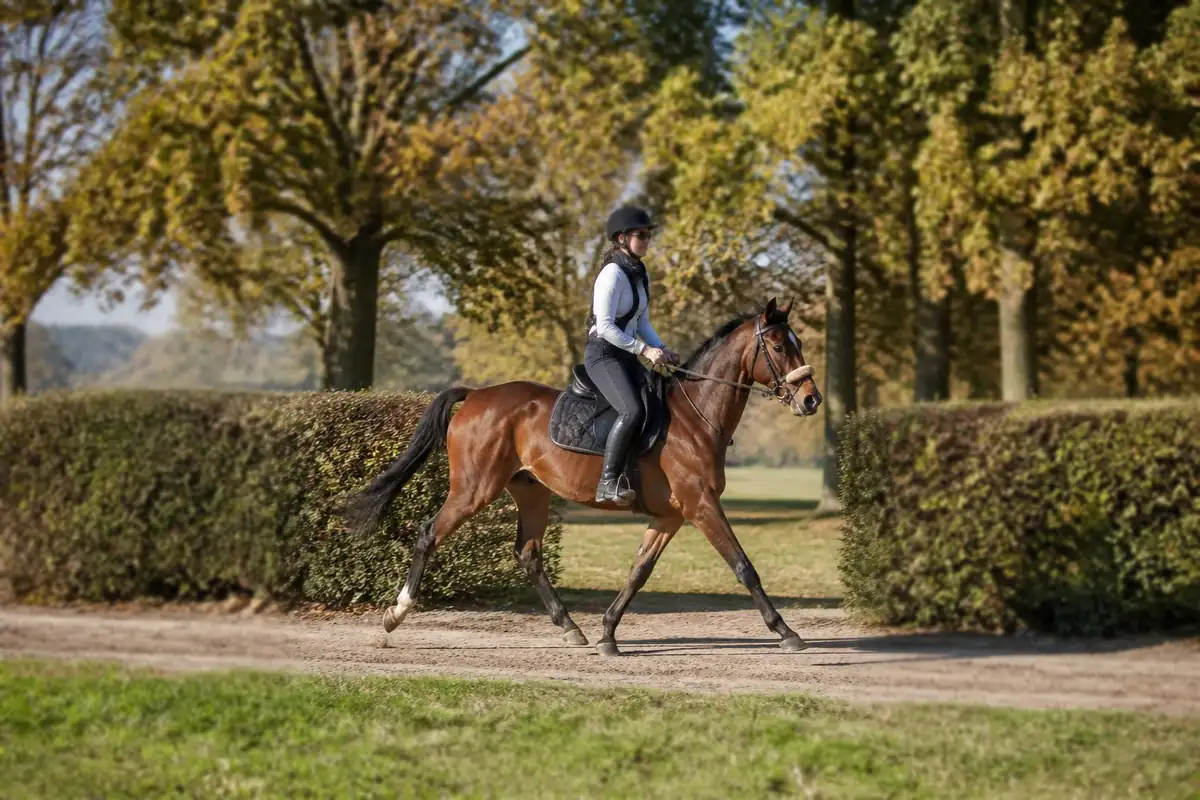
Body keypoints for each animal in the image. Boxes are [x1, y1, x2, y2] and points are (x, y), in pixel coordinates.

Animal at [346, 296, 823, 656]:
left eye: (796, 343)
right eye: (778, 346)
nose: (811, 399)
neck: (695, 417)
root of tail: (477, 394)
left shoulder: (670, 516)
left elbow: (638, 571)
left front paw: (608, 633)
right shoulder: (701, 505)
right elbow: (744, 566)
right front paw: (786, 631)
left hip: (531, 492)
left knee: (529, 553)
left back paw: (570, 627)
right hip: (474, 490)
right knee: (430, 533)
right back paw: (395, 614)